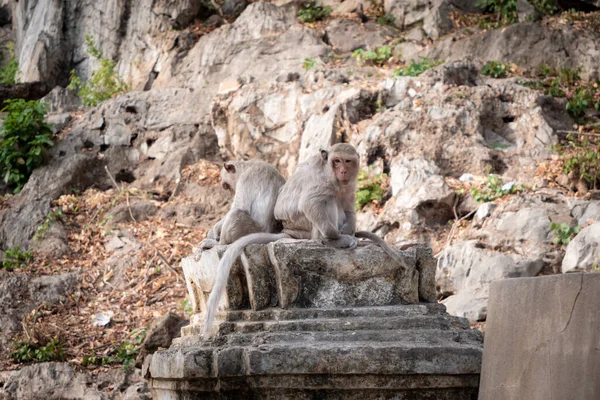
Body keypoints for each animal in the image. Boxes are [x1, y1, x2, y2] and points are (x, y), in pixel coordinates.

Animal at [203, 144, 412, 338]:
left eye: (347, 161)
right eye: (337, 161)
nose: (343, 171)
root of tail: (288, 232)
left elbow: (242, 207)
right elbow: (334, 202)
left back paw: (331, 240)